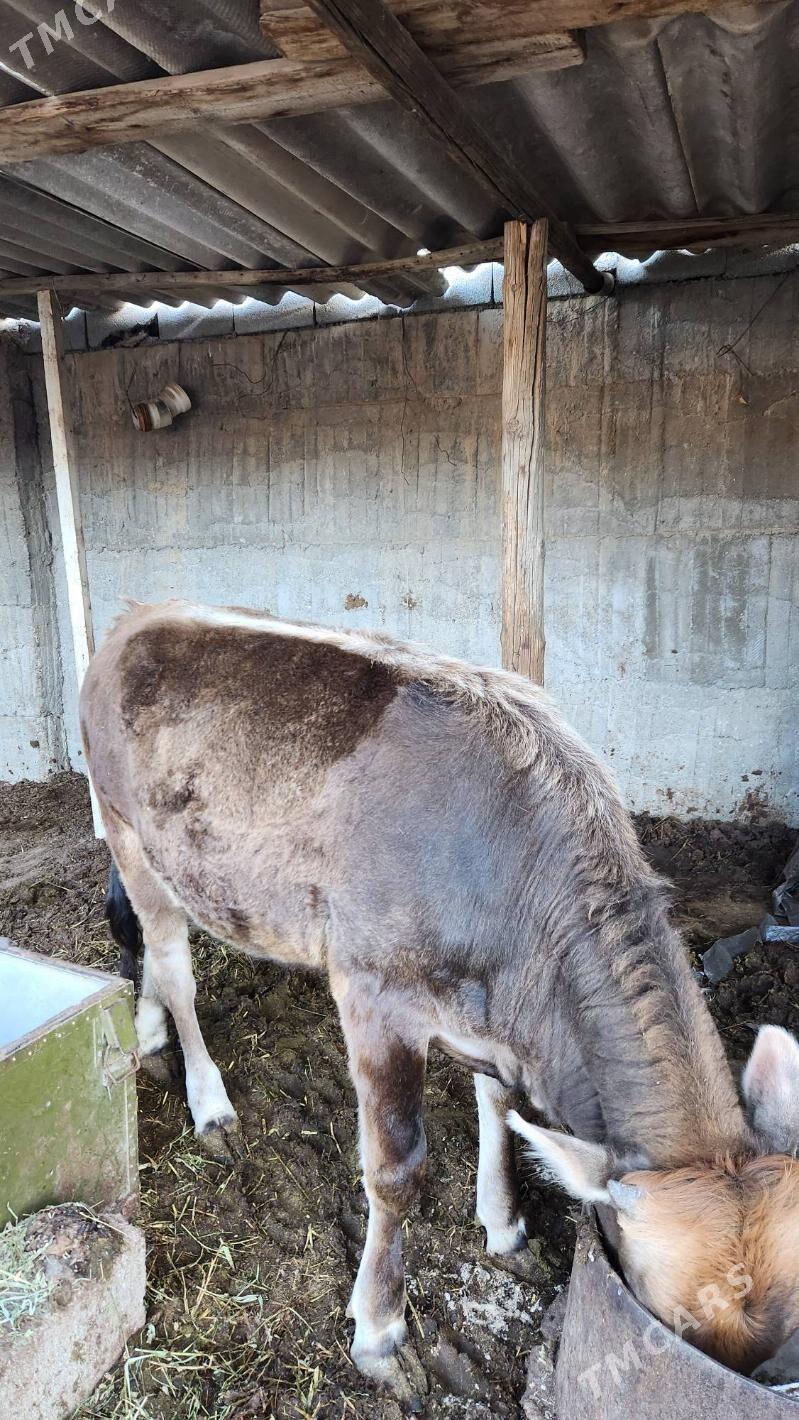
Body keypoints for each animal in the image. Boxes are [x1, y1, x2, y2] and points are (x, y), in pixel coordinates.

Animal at [81, 599, 799, 1396]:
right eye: (666, 1315)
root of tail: (144, 613)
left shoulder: (495, 1021)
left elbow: (502, 1107)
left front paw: (503, 1222)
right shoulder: (374, 996)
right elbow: (397, 1172)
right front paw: (379, 1327)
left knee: (148, 946)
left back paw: (147, 1032)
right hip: (124, 825)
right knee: (175, 966)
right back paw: (208, 1100)